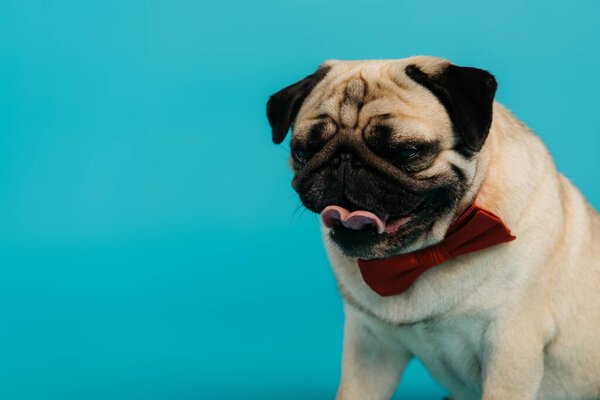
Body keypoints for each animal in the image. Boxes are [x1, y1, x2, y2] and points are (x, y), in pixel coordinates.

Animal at [266, 57, 600, 400]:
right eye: (303, 151)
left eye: (406, 151)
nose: (345, 160)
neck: (425, 253)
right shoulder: (369, 347)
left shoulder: (510, 348)